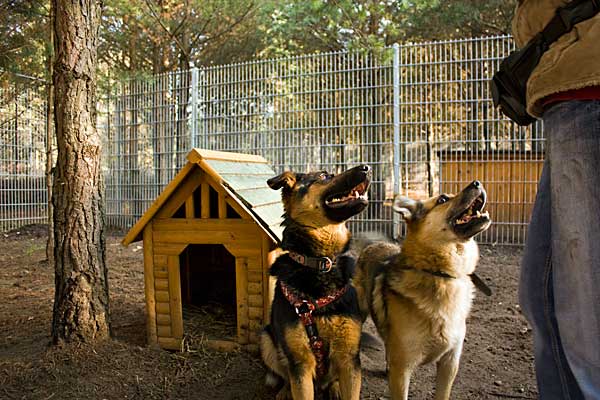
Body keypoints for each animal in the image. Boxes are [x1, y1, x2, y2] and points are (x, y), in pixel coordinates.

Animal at [262, 164, 370, 398]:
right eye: (324, 176)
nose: (366, 167)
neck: (321, 263)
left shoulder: (349, 359)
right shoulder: (301, 364)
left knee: (331, 380)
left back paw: (334, 388)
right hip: (266, 339)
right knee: (284, 374)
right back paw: (284, 391)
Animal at [354, 181, 490, 400]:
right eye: (442, 199)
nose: (477, 182)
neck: (439, 274)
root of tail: (375, 245)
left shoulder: (449, 363)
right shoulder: (403, 370)